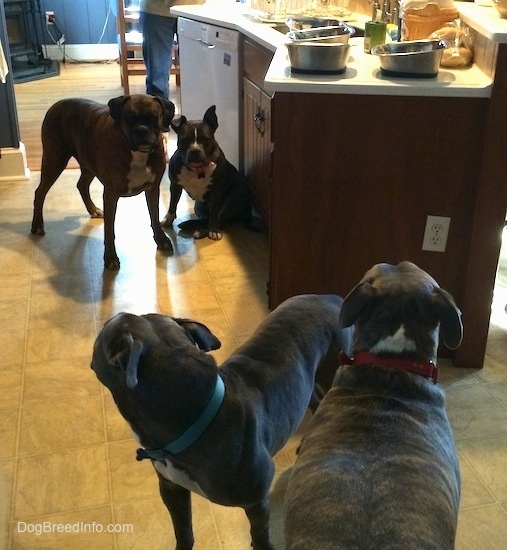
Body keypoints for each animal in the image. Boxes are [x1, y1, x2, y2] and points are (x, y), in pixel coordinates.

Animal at [31, 97, 177, 274]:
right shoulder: (110, 195)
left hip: (87, 164)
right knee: (40, 192)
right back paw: (37, 224)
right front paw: (111, 258)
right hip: (54, 161)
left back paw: (93, 210)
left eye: (154, 118)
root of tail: (57, 103)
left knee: (81, 185)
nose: (141, 130)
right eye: (129, 117)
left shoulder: (152, 189)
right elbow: (109, 231)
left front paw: (161, 240)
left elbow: (154, 218)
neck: (137, 154)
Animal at [91, 296, 354, 548]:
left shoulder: (256, 502)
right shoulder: (172, 489)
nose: (106, 318)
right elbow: (183, 531)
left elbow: (260, 536)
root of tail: (332, 298)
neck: (194, 416)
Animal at [161, 105, 252, 239]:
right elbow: (172, 204)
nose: (194, 151)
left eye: (205, 139)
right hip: (198, 205)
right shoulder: (175, 185)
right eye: (184, 140)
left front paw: (213, 230)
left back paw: (205, 230)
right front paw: (168, 219)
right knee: (205, 218)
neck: (196, 169)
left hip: (234, 196)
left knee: (220, 218)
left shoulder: (216, 191)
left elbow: (215, 212)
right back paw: (190, 224)